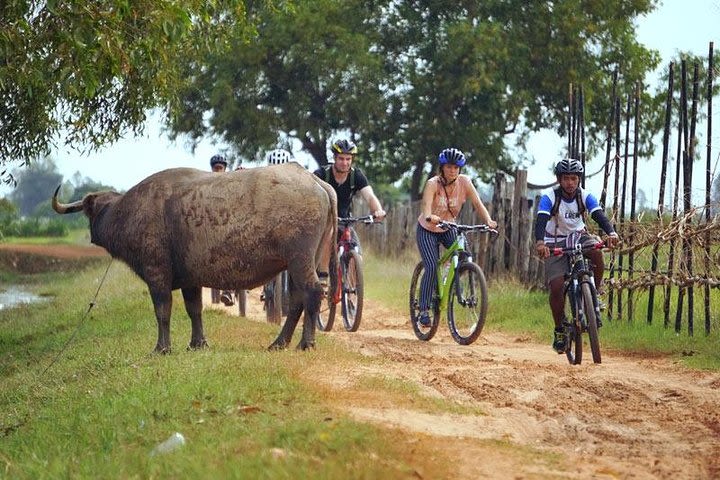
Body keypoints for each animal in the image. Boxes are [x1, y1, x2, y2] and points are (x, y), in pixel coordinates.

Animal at [52, 165, 338, 352]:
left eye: (91, 208)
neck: (128, 213)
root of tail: (317, 183)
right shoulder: (191, 280)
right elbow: (194, 310)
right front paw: (197, 343)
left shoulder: (156, 275)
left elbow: (162, 311)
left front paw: (162, 348)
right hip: (302, 262)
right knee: (298, 299)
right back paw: (279, 343)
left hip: (299, 259)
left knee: (312, 292)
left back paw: (305, 343)